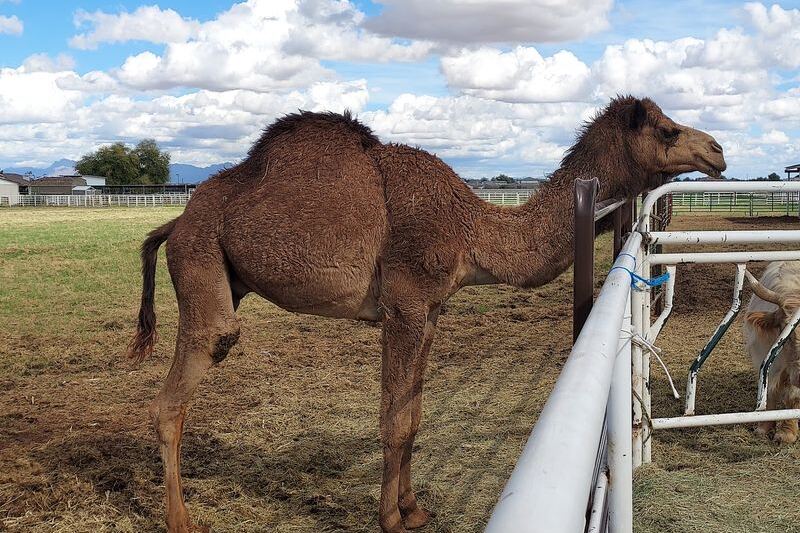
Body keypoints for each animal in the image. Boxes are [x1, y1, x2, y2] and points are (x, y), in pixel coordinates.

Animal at [128, 96, 725, 533]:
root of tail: (175, 221)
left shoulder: (431, 311)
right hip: (201, 259)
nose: (717, 151)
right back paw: (180, 521)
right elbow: (393, 421)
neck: (471, 229)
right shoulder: (405, 305)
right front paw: (390, 518)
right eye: (667, 130)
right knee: (181, 383)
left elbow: (412, 417)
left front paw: (414, 509)